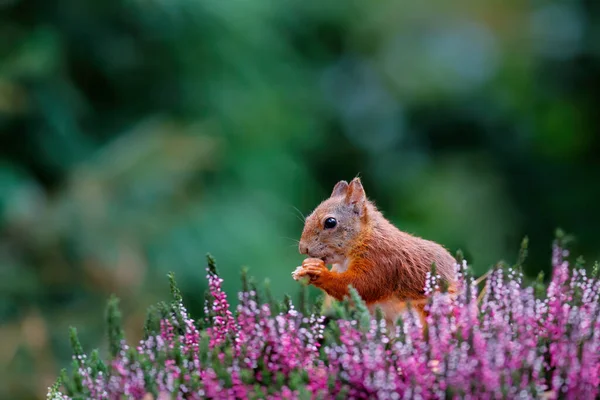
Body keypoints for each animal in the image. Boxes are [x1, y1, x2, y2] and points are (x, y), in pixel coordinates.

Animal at [290, 178, 454, 324]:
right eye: (308, 218)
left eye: (330, 222)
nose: (303, 248)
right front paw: (302, 270)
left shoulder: (382, 260)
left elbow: (361, 285)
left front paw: (319, 272)